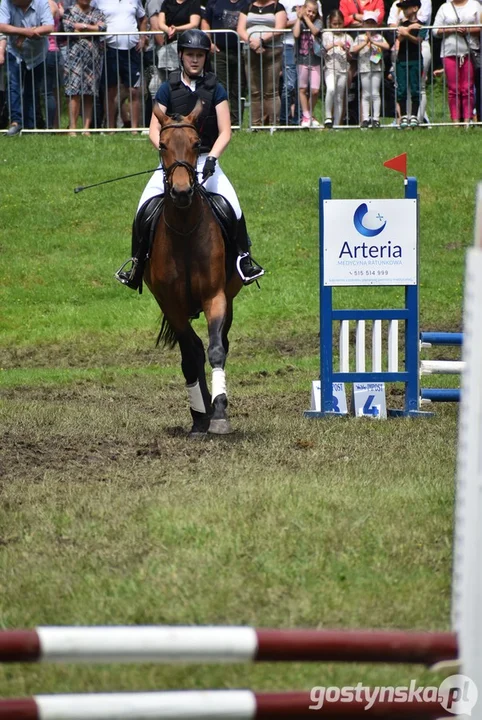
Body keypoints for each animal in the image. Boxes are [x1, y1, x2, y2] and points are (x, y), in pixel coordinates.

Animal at [142, 103, 241, 436]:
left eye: (197, 144)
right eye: (162, 145)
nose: (183, 192)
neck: (185, 229)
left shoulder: (216, 296)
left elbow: (216, 350)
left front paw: (220, 413)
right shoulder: (170, 304)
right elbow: (190, 355)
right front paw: (201, 415)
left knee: (218, 343)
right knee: (194, 350)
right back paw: (201, 413)